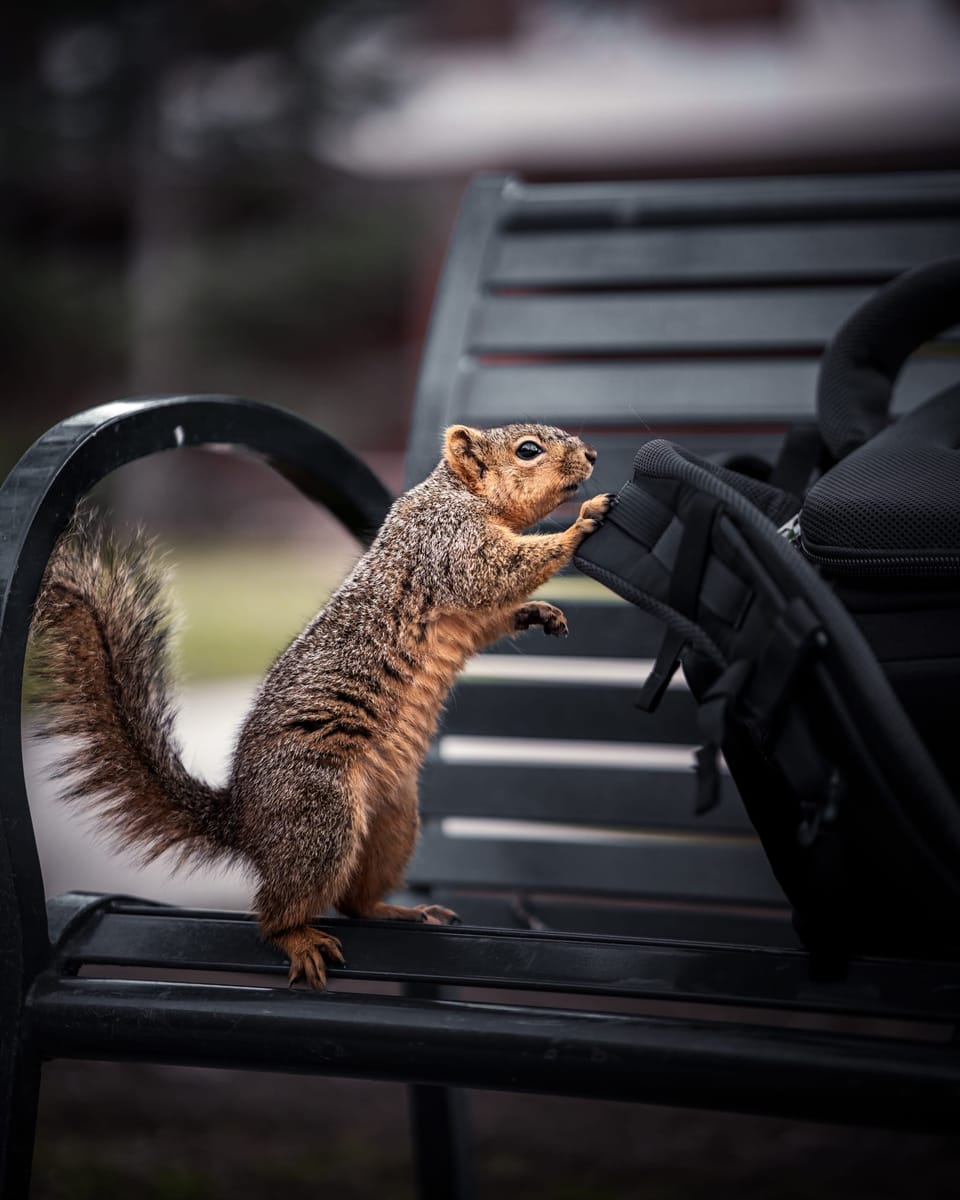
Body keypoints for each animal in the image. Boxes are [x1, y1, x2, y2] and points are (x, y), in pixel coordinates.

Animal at [31, 422, 612, 988]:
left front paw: (540, 611)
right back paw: (297, 939)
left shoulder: (465, 601)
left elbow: (496, 607)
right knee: (274, 910)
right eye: (528, 450)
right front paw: (583, 521)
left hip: (393, 823)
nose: (592, 455)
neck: (461, 494)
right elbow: (494, 572)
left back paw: (398, 911)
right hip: (318, 812)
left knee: (355, 901)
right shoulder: (445, 543)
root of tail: (245, 820)